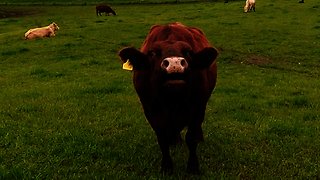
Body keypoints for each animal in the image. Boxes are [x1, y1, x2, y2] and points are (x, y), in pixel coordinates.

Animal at [119, 21, 219, 174]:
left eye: (188, 52)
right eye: (153, 53)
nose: (174, 64)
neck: (172, 102)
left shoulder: (198, 107)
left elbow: (191, 138)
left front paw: (193, 167)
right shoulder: (150, 110)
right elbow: (162, 138)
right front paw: (166, 166)